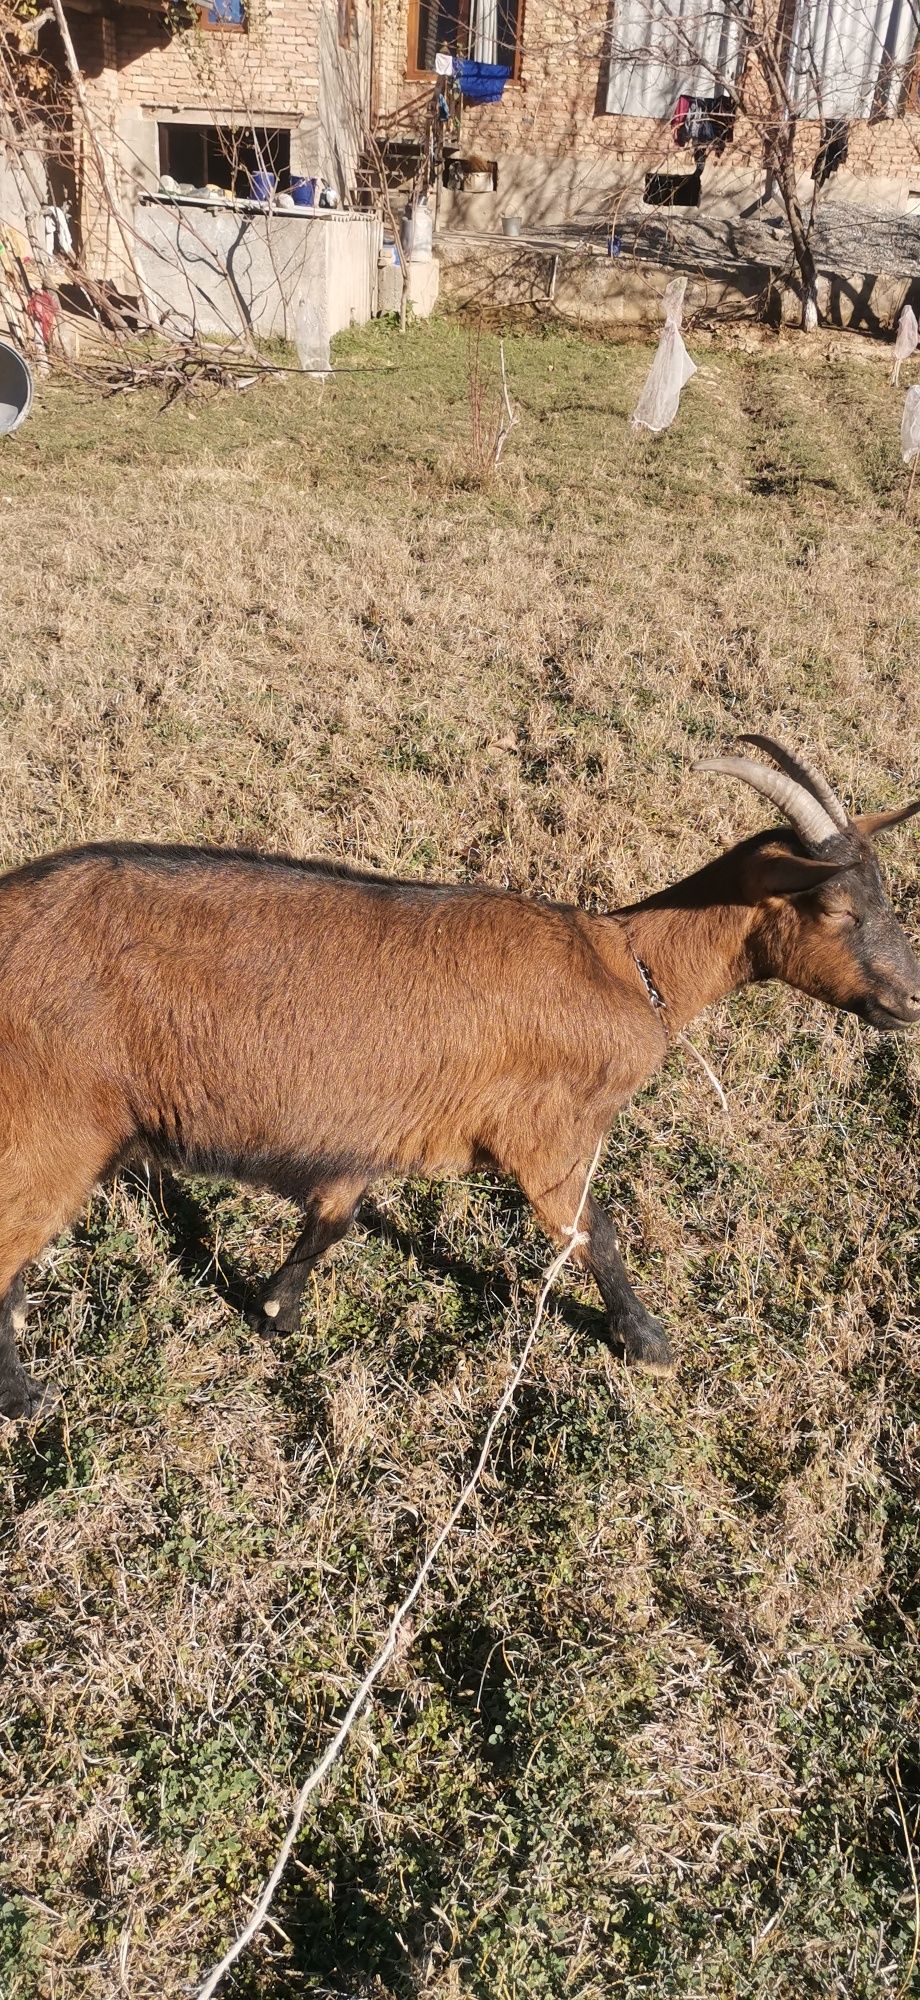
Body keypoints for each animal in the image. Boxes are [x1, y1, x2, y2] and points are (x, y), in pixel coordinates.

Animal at [1, 740, 920, 1424]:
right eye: (836, 910)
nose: (909, 999)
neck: (625, 967)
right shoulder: (547, 1137)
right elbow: (595, 1234)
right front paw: (648, 1344)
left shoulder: (367, 1133)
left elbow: (335, 1217)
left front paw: (275, 1311)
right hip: (52, 1125)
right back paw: (23, 1400)